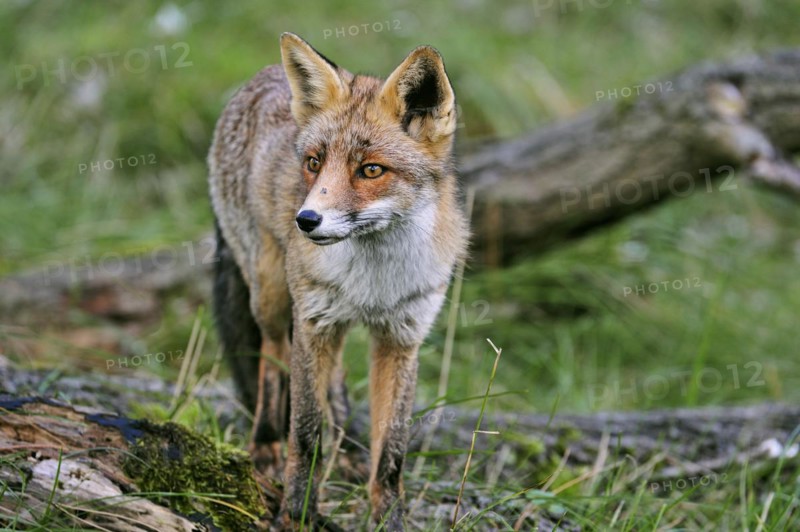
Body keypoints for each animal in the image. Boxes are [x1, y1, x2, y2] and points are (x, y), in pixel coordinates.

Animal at [208, 32, 468, 529]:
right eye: (314, 163)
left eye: (371, 169)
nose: (306, 220)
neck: (375, 280)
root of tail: (261, 77)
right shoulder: (312, 323)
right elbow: (305, 432)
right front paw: (297, 513)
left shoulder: (401, 338)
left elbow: (392, 454)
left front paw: (389, 517)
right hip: (272, 296)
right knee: (272, 360)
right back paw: (266, 444)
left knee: (337, 378)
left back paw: (348, 450)